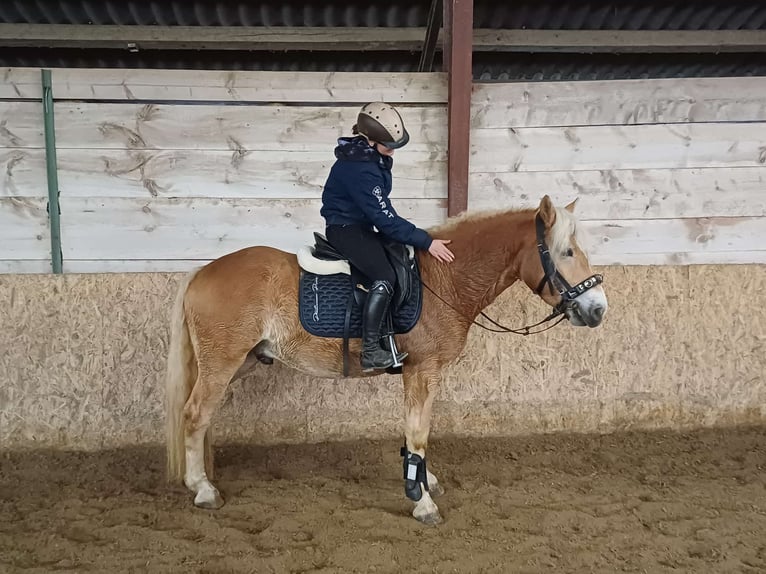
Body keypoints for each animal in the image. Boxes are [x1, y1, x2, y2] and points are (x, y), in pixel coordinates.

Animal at [165, 197, 608, 528]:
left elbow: (419, 430)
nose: (598, 309)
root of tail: (202, 271)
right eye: (567, 252)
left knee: (201, 416)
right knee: (194, 415)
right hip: (222, 363)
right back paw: (202, 489)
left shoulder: (424, 373)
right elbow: (418, 433)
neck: (443, 279)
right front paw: (421, 500)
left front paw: (424, 479)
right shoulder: (422, 370)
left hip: (239, 362)